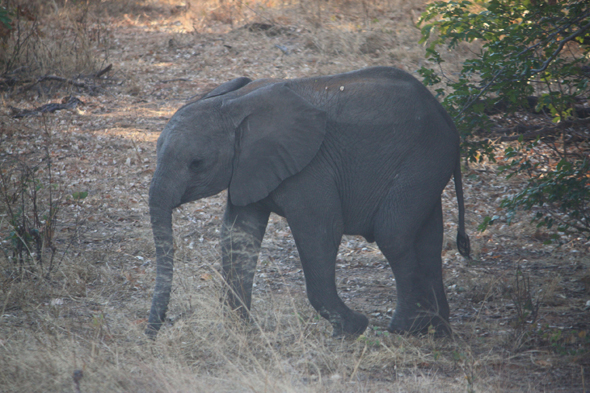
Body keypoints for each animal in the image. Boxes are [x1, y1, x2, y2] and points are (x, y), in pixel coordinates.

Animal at [147, 66, 472, 338]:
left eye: (196, 164)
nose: (152, 335)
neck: (235, 102)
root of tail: (446, 116)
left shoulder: (310, 168)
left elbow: (320, 232)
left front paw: (352, 329)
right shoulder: (249, 167)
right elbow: (238, 233)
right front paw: (240, 331)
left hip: (423, 159)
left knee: (393, 234)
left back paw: (404, 329)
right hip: (430, 165)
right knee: (428, 237)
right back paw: (437, 329)